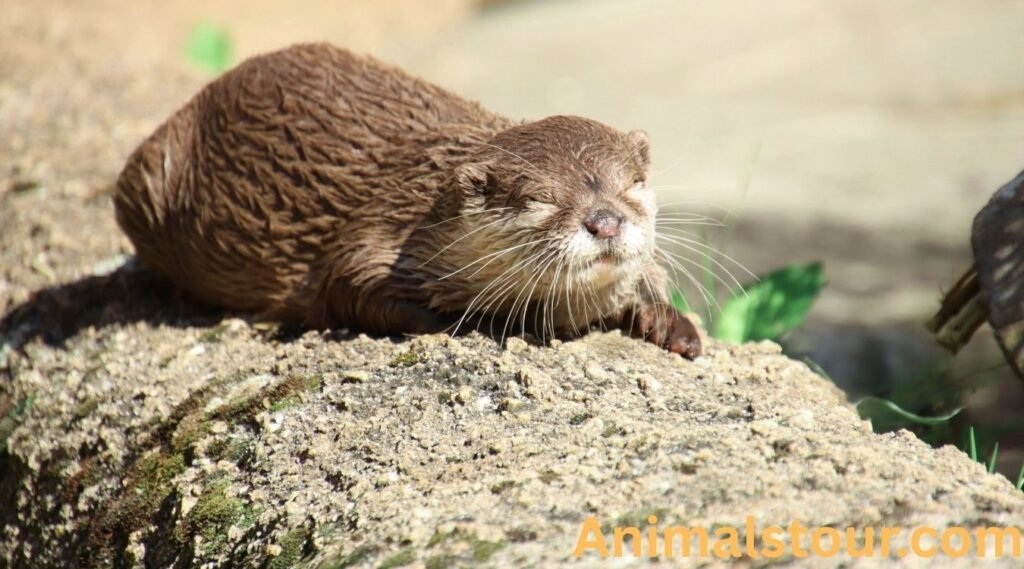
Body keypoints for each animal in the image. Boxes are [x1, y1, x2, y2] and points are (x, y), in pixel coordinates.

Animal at [114, 43, 701, 357]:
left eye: (630, 185)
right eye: (541, 199)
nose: (604, 221)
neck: (420, 210)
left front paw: (669, 322)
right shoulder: (372, 240)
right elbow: (352, 288)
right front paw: (497, 322)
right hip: (146, 183)